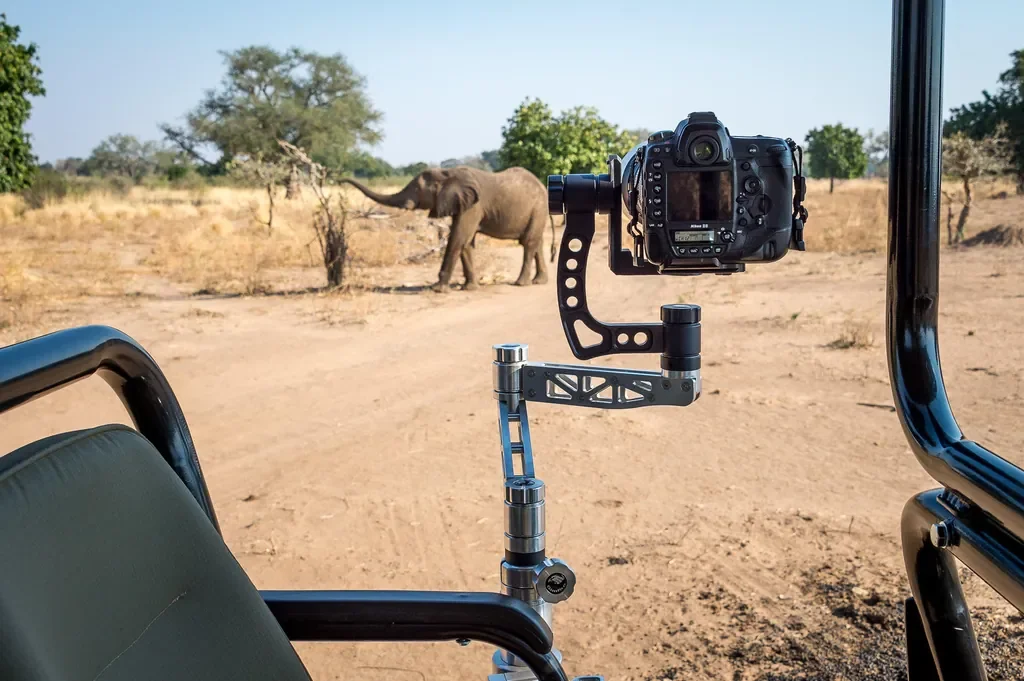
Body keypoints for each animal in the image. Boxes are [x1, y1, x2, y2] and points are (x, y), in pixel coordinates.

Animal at [341, 167, 555, 292]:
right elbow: (466, 242)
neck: (446, 174)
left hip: (538, 208)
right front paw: (470, 288)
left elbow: (458, 238)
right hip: (538, 210)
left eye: (417, 189)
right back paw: (539, 282)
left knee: (528, 242)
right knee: (536, 242)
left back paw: (521, 284)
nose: (341, 180)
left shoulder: (474, 206)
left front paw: (437, 289)